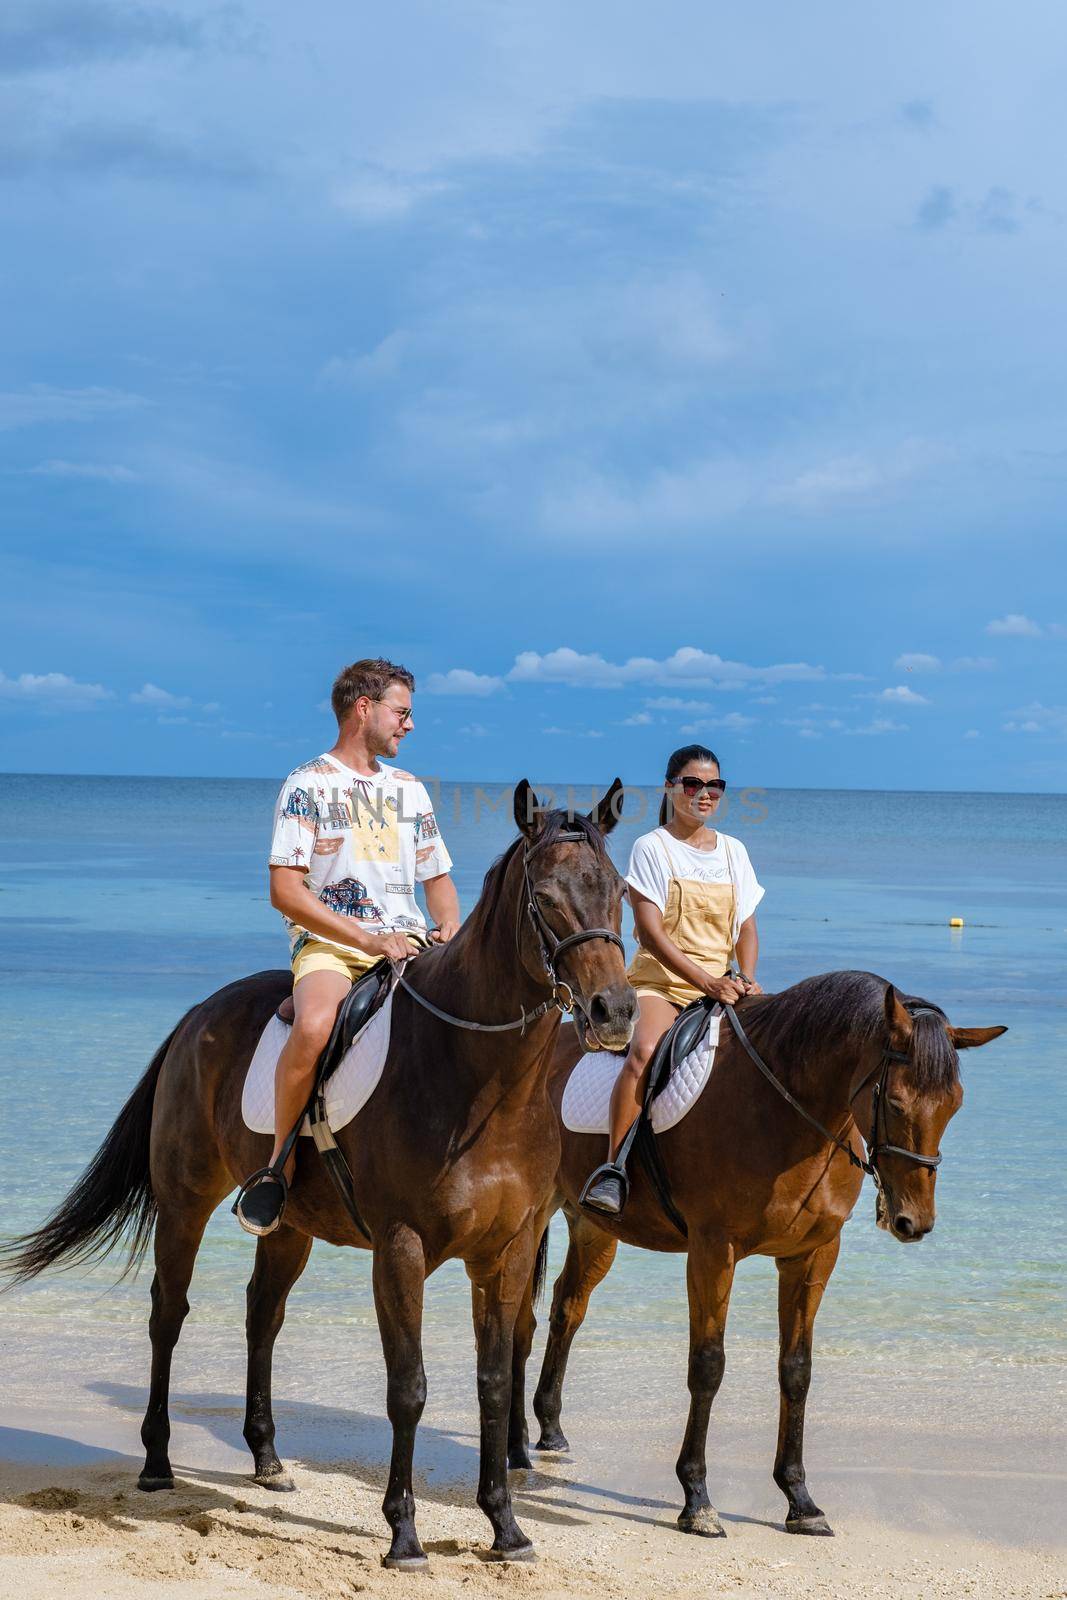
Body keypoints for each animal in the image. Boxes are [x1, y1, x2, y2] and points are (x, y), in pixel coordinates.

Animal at [4, 780, 639, 1568]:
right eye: (547, 898)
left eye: (617, 891)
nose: (615, 1011)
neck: (477, 1079)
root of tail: (198, 1013)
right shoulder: (401, 1249)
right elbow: (409, 1388)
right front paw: (402, 1533)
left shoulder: (508, 1249)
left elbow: (494, 1383)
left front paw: (505, 1524)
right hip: (185, 1202)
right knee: (167, 1314)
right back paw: (156, 1462)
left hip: (288, 1226)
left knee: (262, 1314)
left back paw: (268, 1460)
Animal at [518, 972, 1011, 1536]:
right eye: (896, 1102)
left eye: (955, 1105)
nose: (914, 1221)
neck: (782, 1109)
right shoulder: (713, 1250)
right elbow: (708, 1365)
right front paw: (697, 1499)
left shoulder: (812, 1255)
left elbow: (796, 1369)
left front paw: (799, 1499)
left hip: (595, 1229)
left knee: (567, 1307)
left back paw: (549, 1427)